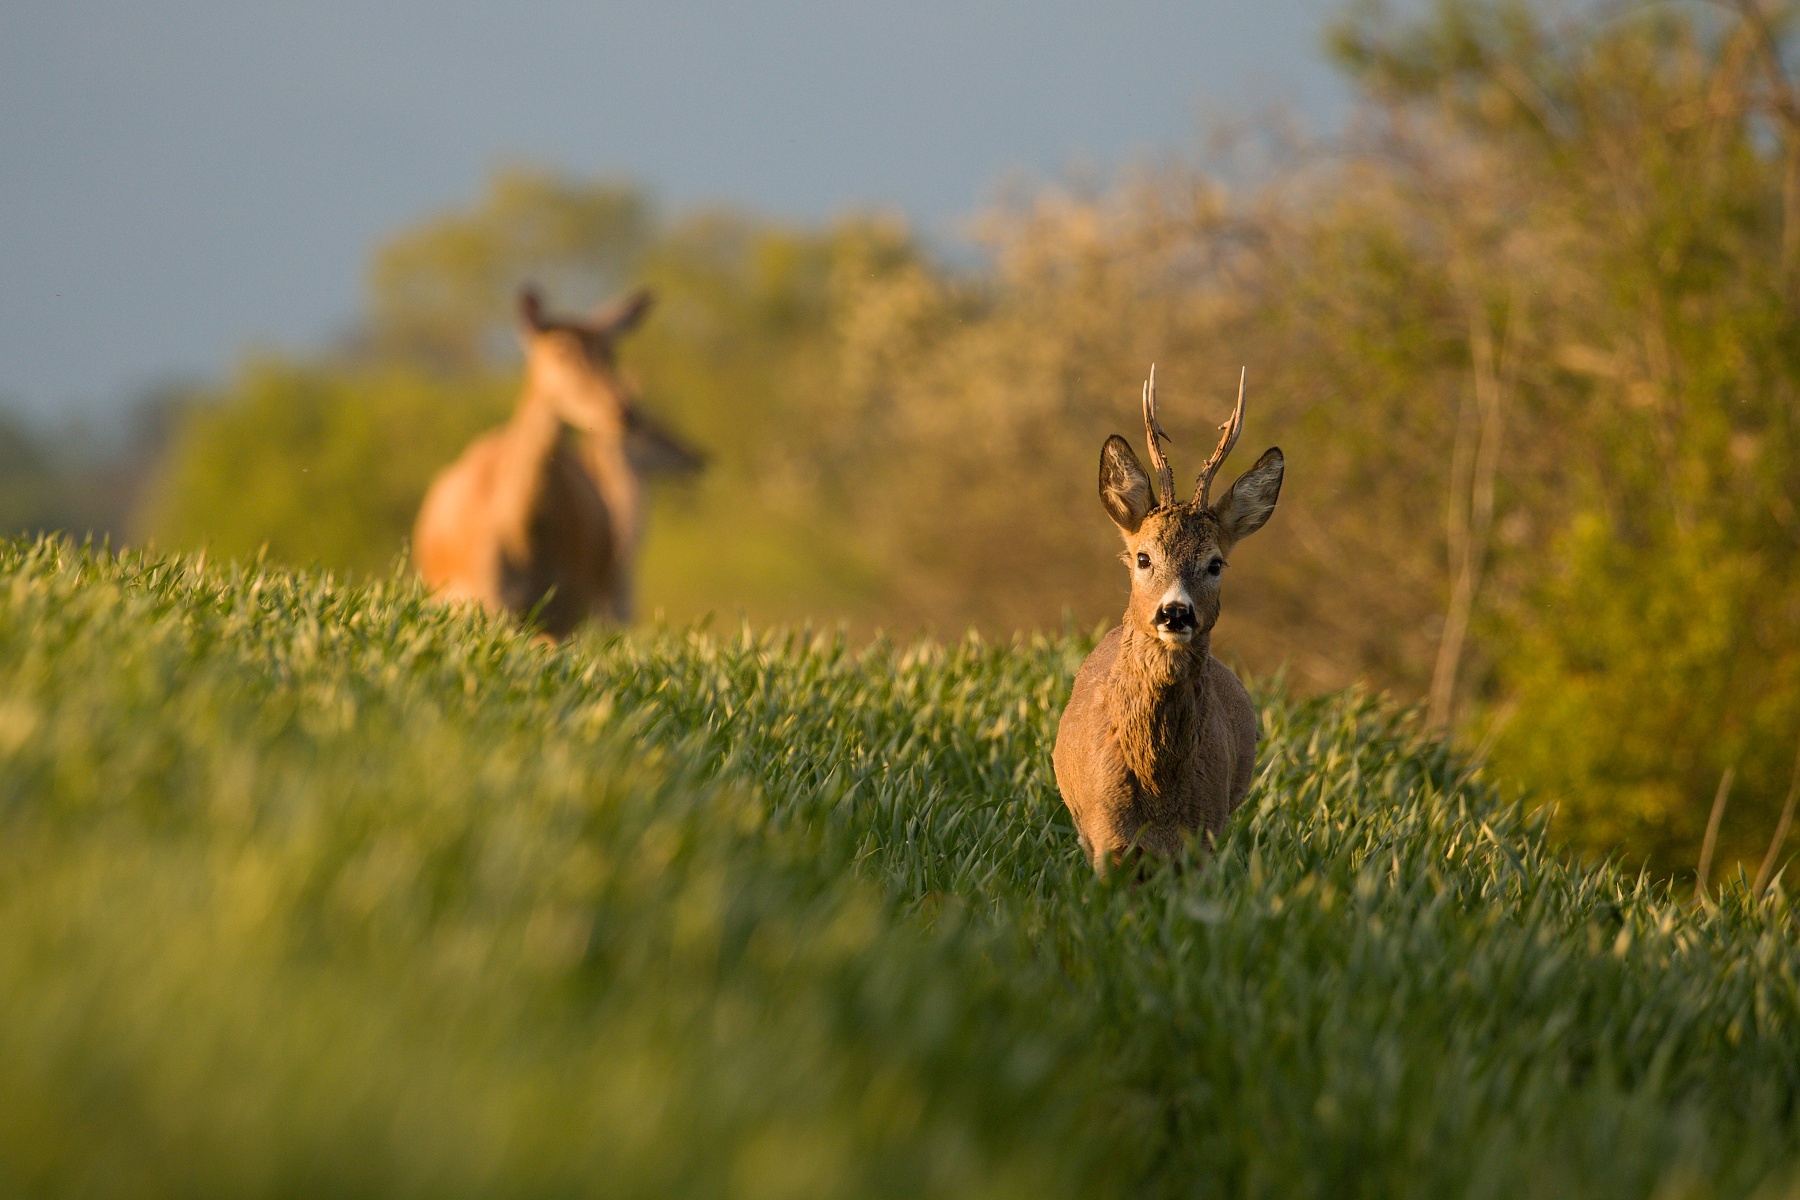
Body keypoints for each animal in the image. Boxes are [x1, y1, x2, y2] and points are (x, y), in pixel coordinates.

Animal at [412, 286, 702, 636]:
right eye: (561, 351)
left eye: (610, 352)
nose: (625, 411)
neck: (524, 536)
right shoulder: (489, 598)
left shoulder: (568, 606)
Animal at [1051, 367, 1288, 874]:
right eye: (1143, 557)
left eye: (1215, 564)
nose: (1175, 612)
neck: (1158, 783)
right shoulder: (1104, 837)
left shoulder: (1204, 835)